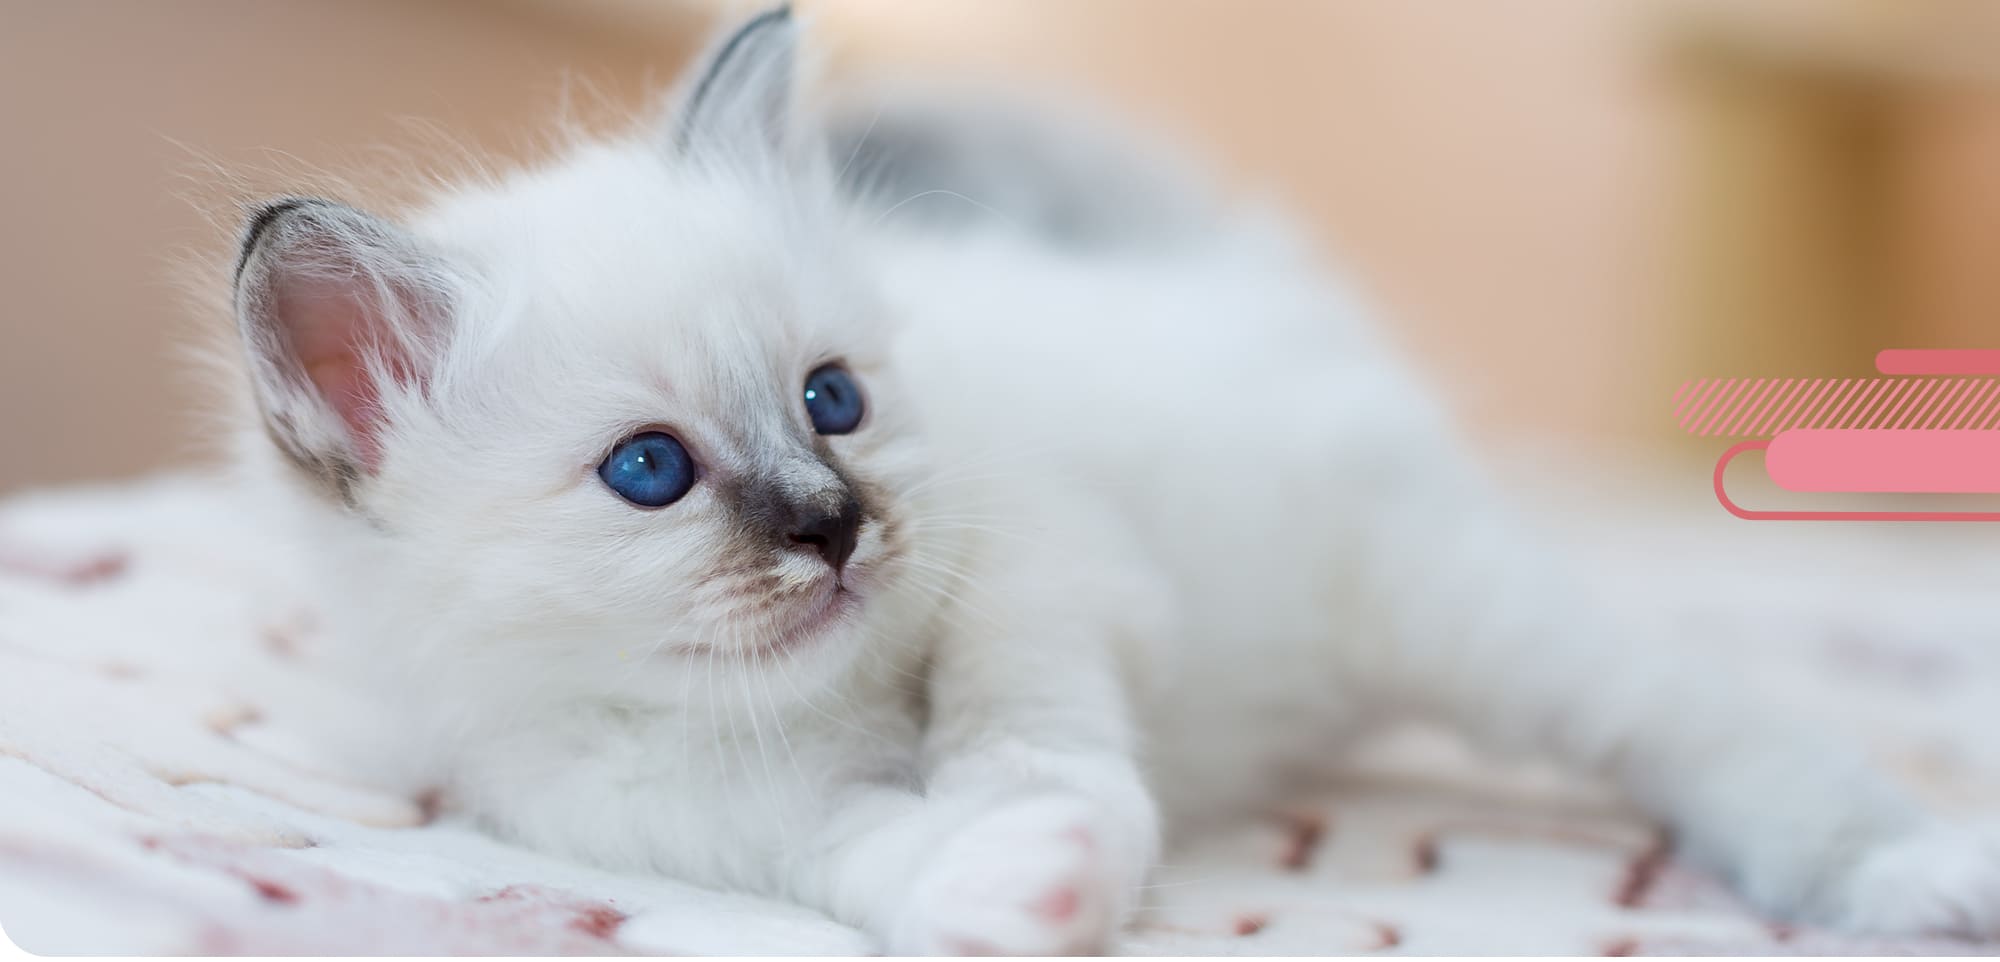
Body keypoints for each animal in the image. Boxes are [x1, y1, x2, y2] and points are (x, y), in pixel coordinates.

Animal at [227, 7, 2000, 952]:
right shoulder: (685, 818)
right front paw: (1030, 877)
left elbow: (1025, 712)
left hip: (1466, 619)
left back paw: (1917, 876)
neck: (815, 704)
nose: (836, 526)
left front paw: (1049, 806)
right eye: (650, 471)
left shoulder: (1040, 564)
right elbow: (880, 857)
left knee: (1717, 731)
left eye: (832, 400)